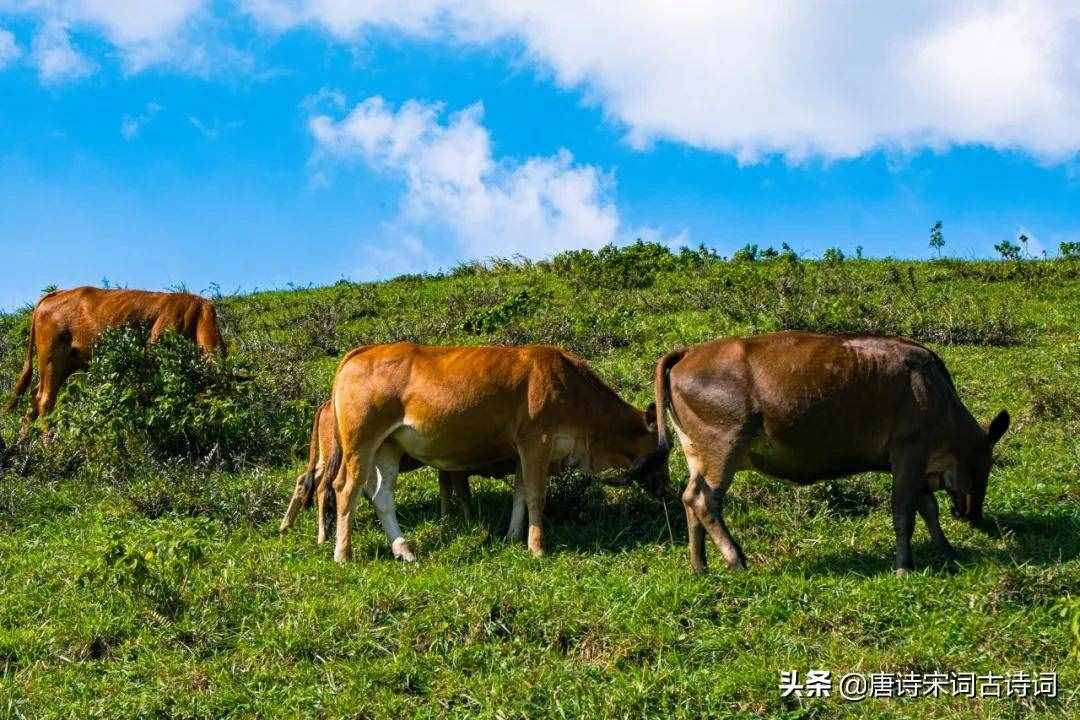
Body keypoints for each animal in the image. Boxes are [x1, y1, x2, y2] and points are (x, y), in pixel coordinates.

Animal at [5, 284, 225, 433]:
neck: (198, 317)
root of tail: (55, 294)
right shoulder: (152, 355)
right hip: (51, 359)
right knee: (45, 401)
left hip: (64, 364)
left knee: (33, 401)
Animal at [319, 343, 656, 561]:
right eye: (660, 454)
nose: (664, 490)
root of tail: (362, 352)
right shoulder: (537, 441)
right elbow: (536, 495)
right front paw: (537, 547)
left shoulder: (523, 452)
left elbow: (521, 495)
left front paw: (512, 536)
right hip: (361, 442)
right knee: (345, 489)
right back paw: (343, 553)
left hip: (388, 447)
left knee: (382, 497)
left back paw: (404, 549)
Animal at [630, 332, 1006, 574]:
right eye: (986, 465)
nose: (975, 516)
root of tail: (688, 352)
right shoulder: (909, 452)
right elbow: (905, 512)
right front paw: (904, 567)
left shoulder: (917, 464)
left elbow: (928, 509)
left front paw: (947, 551)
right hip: (723, 447)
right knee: (703, 500)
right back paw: (736, 559)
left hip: (697, 452)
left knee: (690, 499)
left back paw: (700, 565)